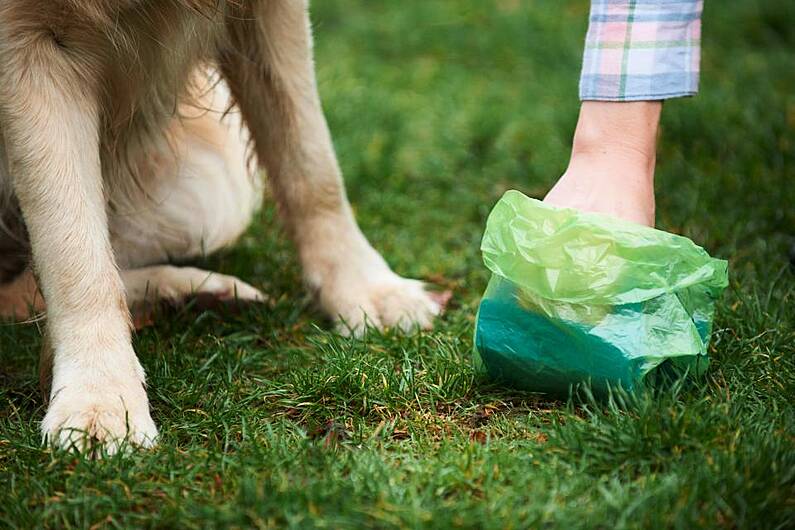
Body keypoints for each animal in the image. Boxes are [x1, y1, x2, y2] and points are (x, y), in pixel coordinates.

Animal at [0, 1, 442, 454]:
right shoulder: (25, 43)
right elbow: (73, 252)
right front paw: (100, 398)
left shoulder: (269, 16)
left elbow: (311, 161)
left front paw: (365, 289)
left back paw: (200, 294)